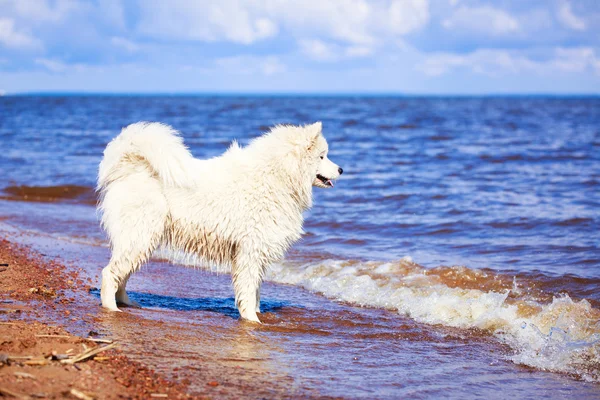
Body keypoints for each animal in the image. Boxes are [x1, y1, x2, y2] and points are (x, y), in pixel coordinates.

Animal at [98, 121, 342, 322]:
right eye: (322, 156)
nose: (341, 169)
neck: (277, 176)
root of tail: (130, 169)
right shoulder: (250, 250)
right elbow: (248, 290)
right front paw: (252, 320)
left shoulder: (256, 252)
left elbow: (255, 291)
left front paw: (255, 313)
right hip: (140, 236)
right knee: (110, 273)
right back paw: (111, 308)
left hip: (141, 240)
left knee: (122, 274)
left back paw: (126, 303)